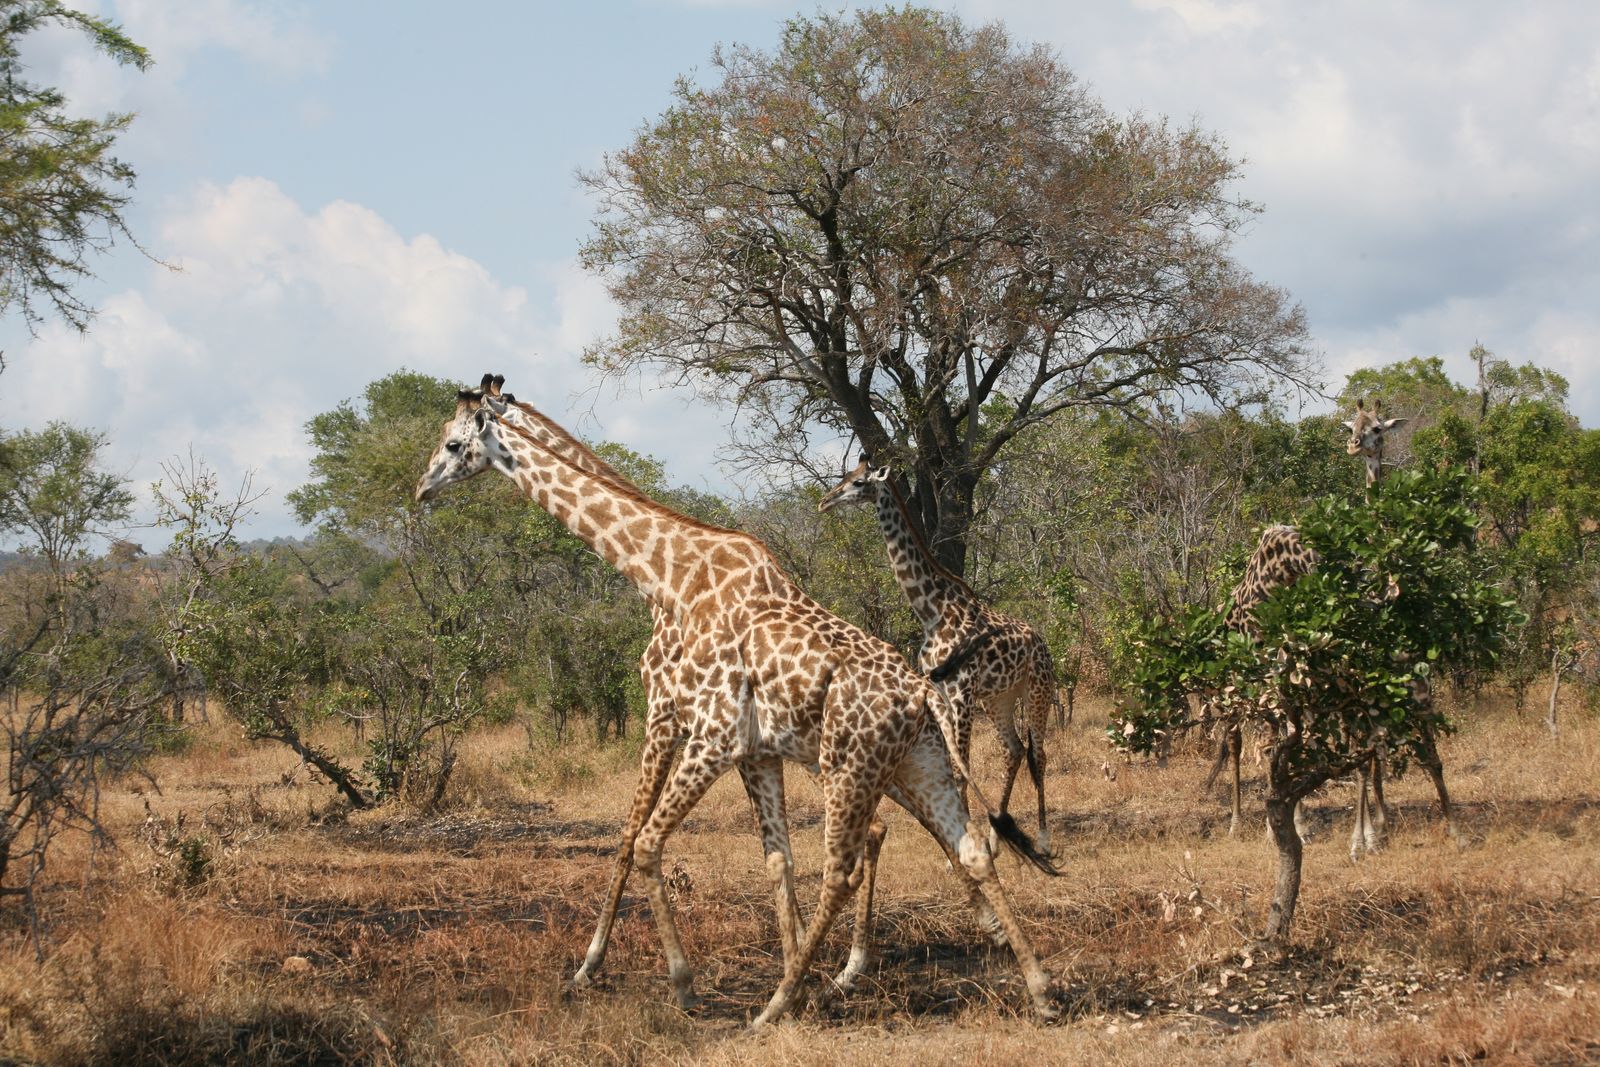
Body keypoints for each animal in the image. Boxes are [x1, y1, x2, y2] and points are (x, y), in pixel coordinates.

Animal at [825, 454, 1062, 857]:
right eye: (845, 476)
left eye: (858, 482)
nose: (825, 501)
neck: (931, 611)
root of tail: (1043, 644)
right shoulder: (940, 690)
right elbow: (953, 768)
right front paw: (969, 842)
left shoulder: (961, 690)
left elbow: (962, 769)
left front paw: (969, 841)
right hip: (999, 697)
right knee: (1014, 749)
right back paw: (998, 837)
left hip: (1037, 690)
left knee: (1039, 753)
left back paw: (1043, 839)